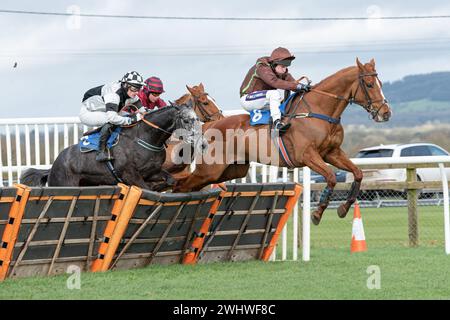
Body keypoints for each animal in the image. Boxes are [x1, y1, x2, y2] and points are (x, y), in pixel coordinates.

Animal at [174, 58, 392, 226]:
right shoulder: (308, 155)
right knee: (182, 185)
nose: (386, 113)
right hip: (210, 169)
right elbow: (330, 177)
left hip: (230, 170)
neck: (318, 111)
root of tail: (207, 127)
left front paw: (344, 208)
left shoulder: (332, 152)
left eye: (380, 83)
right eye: (370, 84)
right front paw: (317, 213)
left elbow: (358, 173)